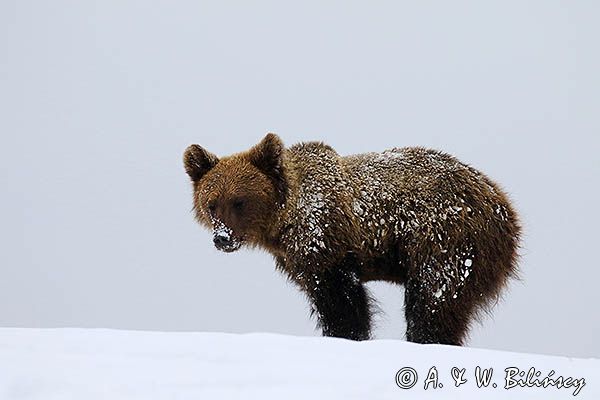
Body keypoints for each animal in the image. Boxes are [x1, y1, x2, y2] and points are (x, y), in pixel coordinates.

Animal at [183, 134, 520, 344]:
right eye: (212, 203)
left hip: (446, 240)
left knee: (433, 298)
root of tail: (502, 204)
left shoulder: (324, 239)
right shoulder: (296, 258)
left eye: (240, 201)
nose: (222, 238)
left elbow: (341, 300)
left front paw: (347, 334)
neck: (284, 220)